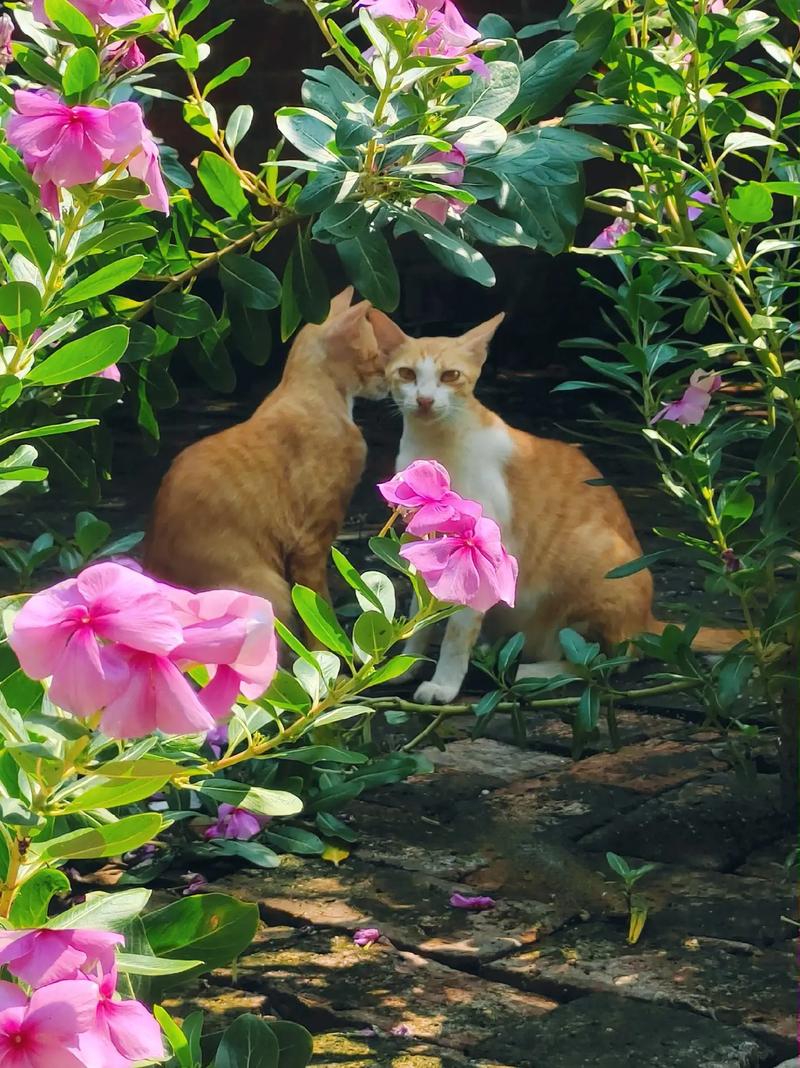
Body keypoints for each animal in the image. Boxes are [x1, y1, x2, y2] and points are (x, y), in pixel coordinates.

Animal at [367, 305, 743, 704]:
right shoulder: (419, 547)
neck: (434, 443)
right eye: (407, 374)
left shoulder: (479, 546)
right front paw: (406, 664)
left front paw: (444, 683)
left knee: (608, 660)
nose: (424, 400)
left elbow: (456, 631)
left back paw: (530, 672)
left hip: (597, 562)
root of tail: (647, 619)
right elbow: (419, 616)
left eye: (449, 376)